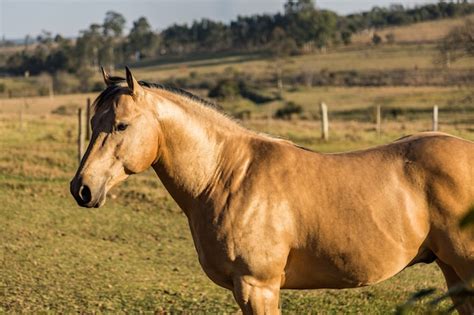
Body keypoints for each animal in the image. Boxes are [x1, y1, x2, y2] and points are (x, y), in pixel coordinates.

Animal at [70, 68, 474, 314]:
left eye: (121, 125)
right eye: (92, 122)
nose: (82, 188)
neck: (226, 176)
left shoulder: (257, 287)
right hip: (454, 272)